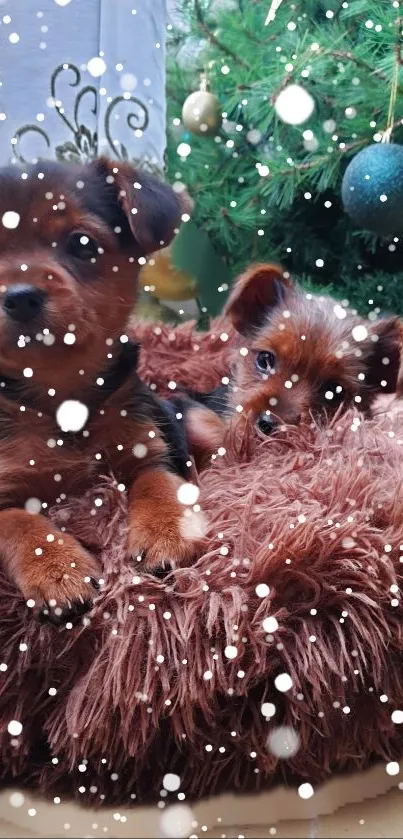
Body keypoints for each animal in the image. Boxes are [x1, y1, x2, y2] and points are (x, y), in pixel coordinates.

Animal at [0, 158, 200, 620]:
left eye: (83, 243)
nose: (20, 297)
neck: (62, 396)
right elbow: (17, 520)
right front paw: (57, 570)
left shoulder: (152, 446)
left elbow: (159, 483)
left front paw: (167, 533)